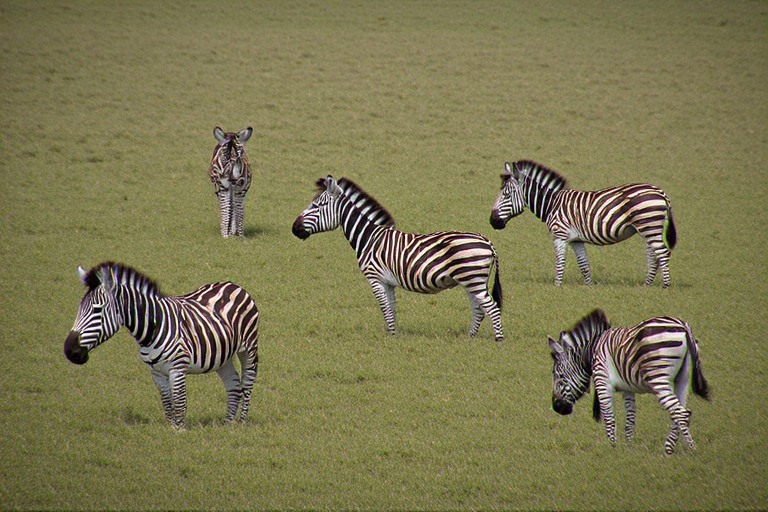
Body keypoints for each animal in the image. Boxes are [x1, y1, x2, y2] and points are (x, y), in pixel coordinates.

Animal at [64, 262, 260, 429]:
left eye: (97, 309)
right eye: (79, 308)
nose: (69, 351)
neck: (153, 326)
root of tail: (233, 285)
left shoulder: (178, 368)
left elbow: (180, 403)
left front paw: (180, 433)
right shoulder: (156, 372)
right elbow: (167, 403)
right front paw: (172, 429)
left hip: (248, 348)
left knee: (248, 382)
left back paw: (241, 422)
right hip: (222, 355)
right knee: (233, 383)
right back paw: (227, 424)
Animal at [292, 176, 504, 342]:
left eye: (317, 206)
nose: (294, 228)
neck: (369, 237)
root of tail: (487, 241)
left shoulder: (375, 278)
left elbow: (384, 307)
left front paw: (391, 337)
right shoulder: (388, 281)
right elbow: (392, 308)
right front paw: (393, 335)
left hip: (472, 278)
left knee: (491, 307)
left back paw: (498, 340)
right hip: (471, 280)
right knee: (478, 308)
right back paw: (470, 337)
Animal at [490, 160, 677, 287]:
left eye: (506, 195)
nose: (492, 221)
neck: (552, 203)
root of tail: (661, 193)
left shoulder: (560, 235)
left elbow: (560, 261)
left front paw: (556, 286)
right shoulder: (576, 240)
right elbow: (584, 265)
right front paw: (589, 287)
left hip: (649, 225)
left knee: (662, 253)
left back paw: (665, 286)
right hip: (648, 228)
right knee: (653, 255)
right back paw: (647, 285)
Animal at [548, 308, 710, 454]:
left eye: (559, 377)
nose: (556, 407)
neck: (592, 351)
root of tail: (683, 327)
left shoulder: (603, 382)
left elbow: (609, 418)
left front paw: (613, 450)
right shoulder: (627, 389)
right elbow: (630, 419)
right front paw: (628, 448)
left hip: (658, 376)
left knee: (681, 414)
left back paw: (690, 449)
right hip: (682, 379)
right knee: (677, 412)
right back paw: (669, 449)